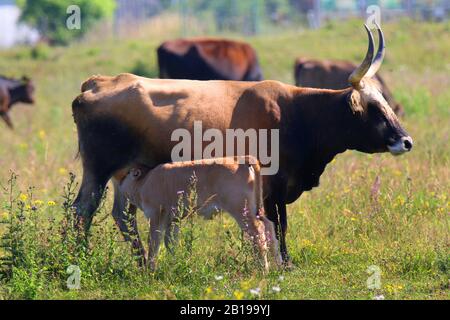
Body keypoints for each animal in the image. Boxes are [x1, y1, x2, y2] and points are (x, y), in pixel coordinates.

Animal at [118, 156, 280, 272]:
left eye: (127, 174)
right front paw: (173, 263)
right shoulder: (173, 220)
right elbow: (171, 242)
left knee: (257, 232)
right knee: (269, 226)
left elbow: (154, 242)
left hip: (241, 211)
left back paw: (263, 268)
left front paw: (150, 270)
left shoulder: (156, 216)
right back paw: (278, 265)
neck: (145, 181)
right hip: (255, 210)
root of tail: (239, 158)